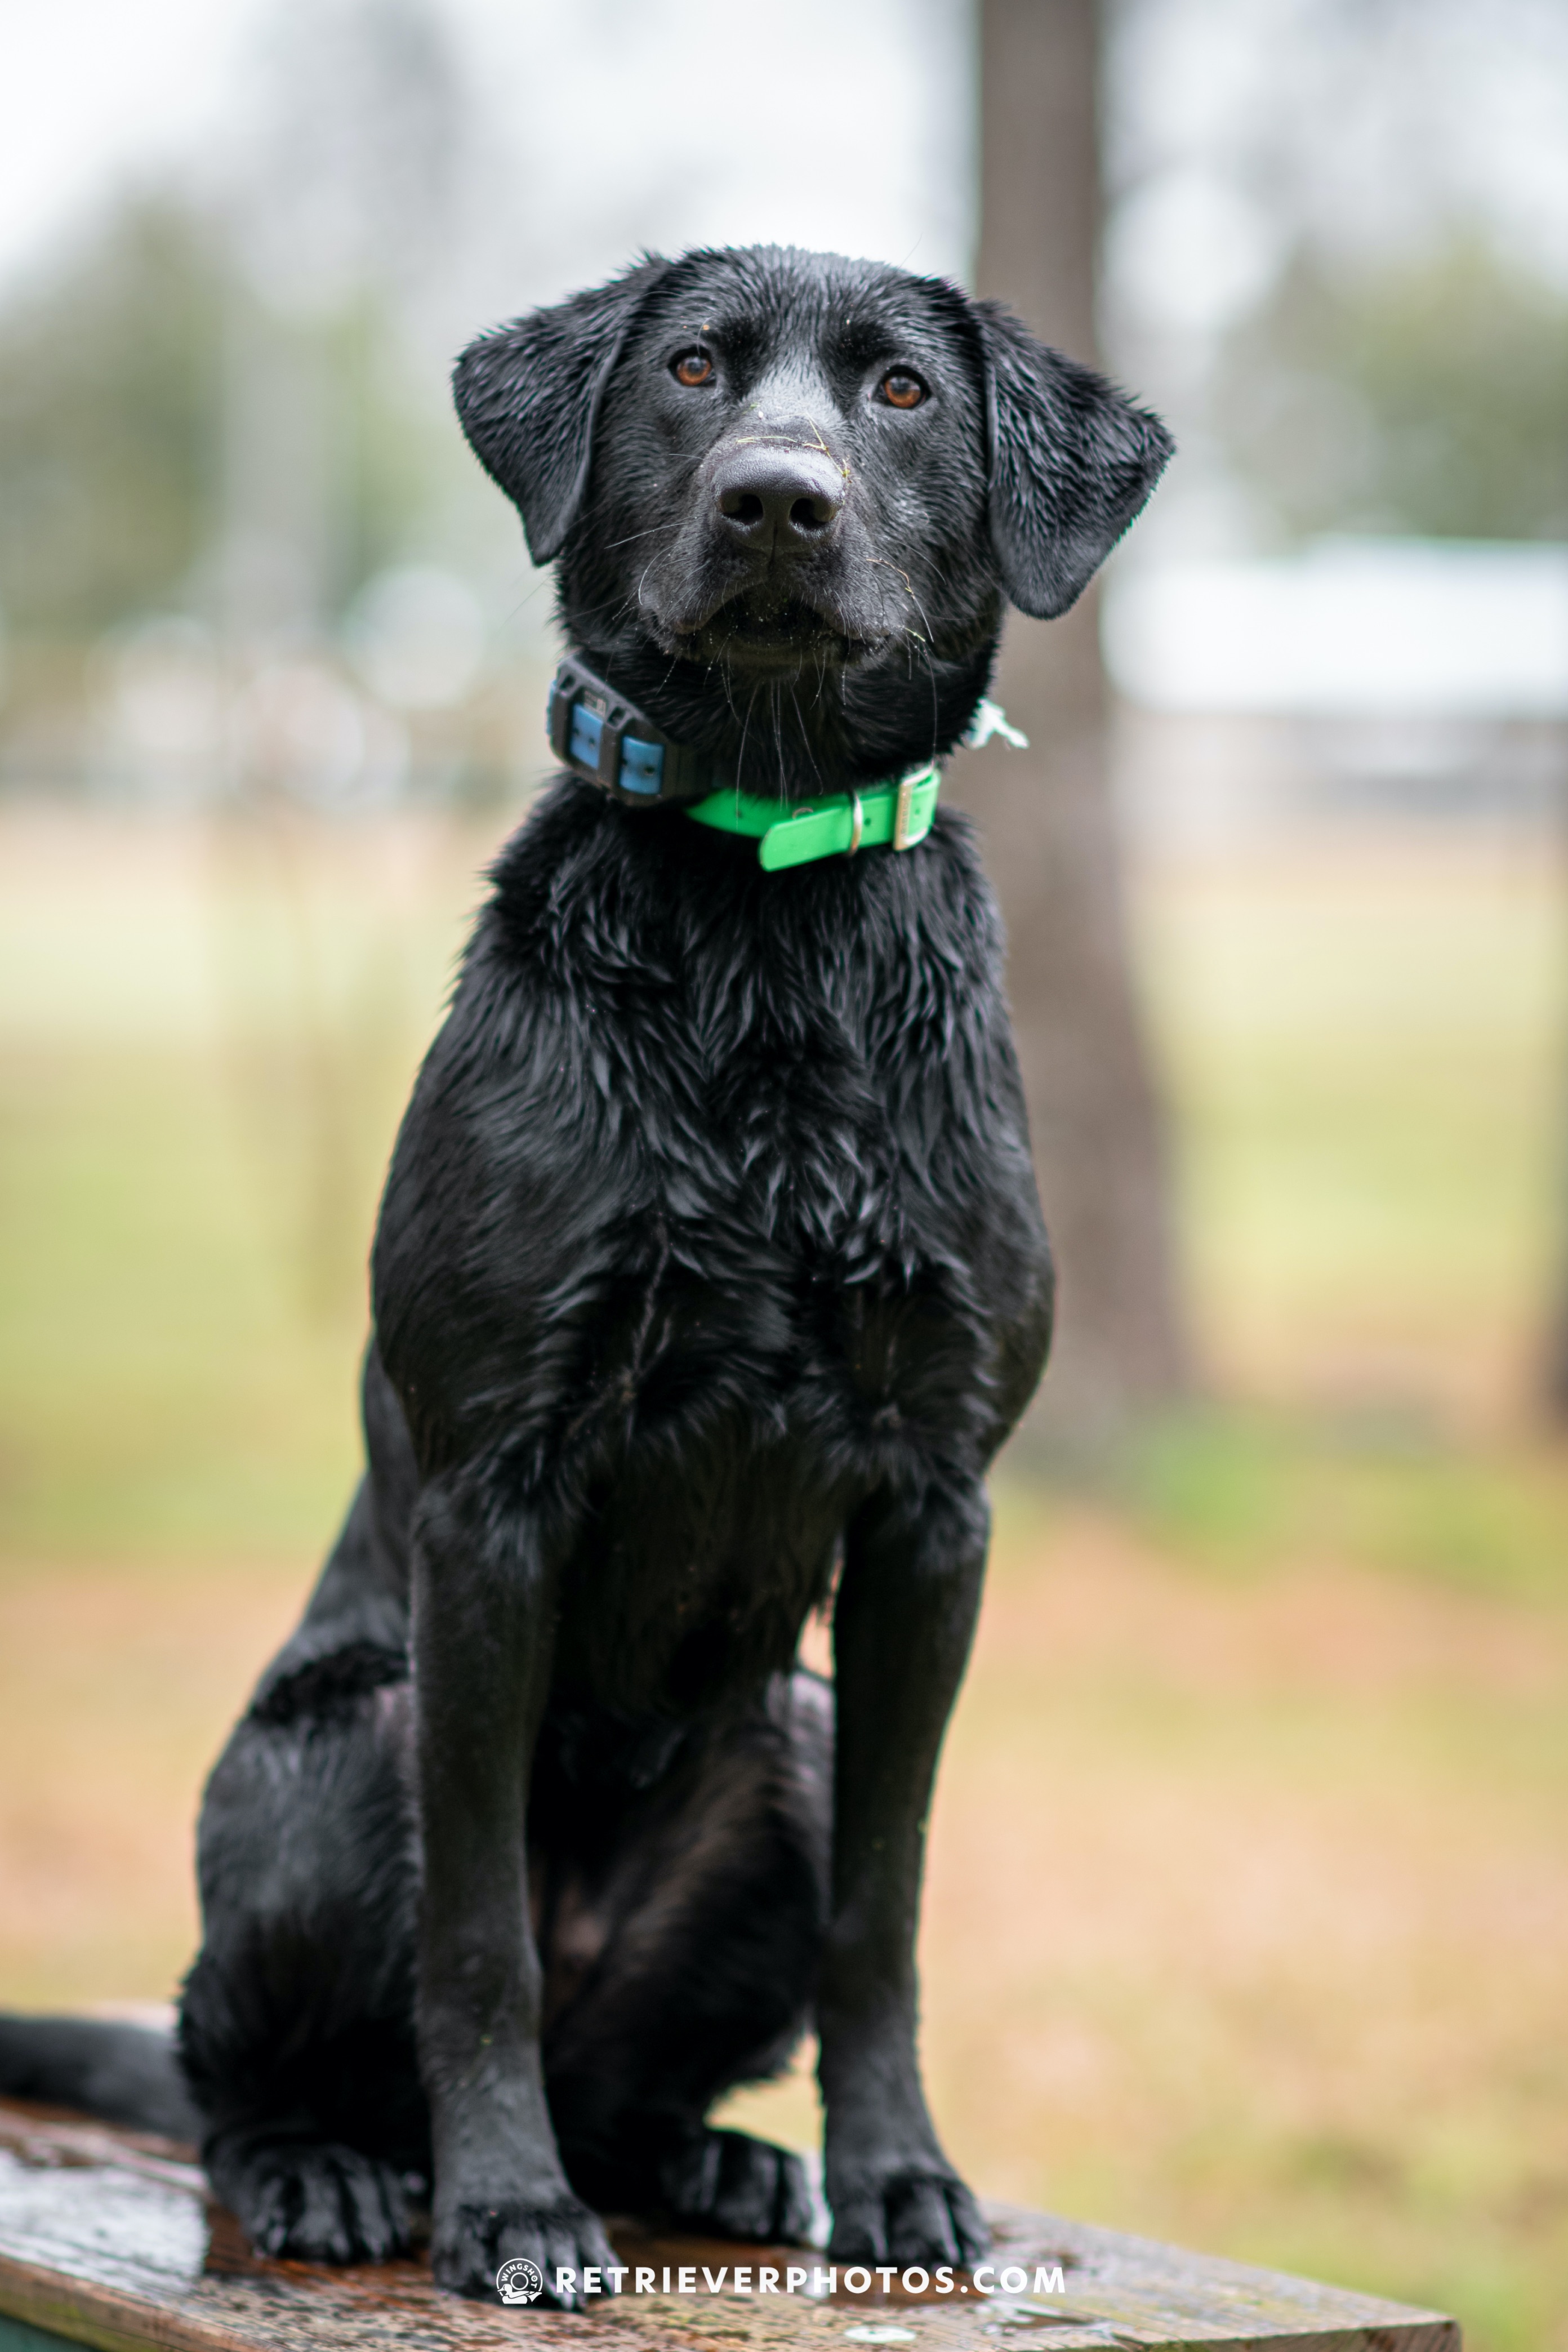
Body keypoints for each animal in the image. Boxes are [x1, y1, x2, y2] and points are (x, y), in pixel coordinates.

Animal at [0, 248, 1166, 2305]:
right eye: (694, 370)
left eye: (902, 393)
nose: (775, 499)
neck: (770, 922)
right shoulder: (495, 1491)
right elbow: (478, 1929)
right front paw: (508, 2210)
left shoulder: (936, 1502)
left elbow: (886, 1910)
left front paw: (897, 2176)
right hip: (341, 1741)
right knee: (250, 2071)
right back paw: (338, 2171)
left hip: (793, 1732)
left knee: (637, 2072)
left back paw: (722, 2161)